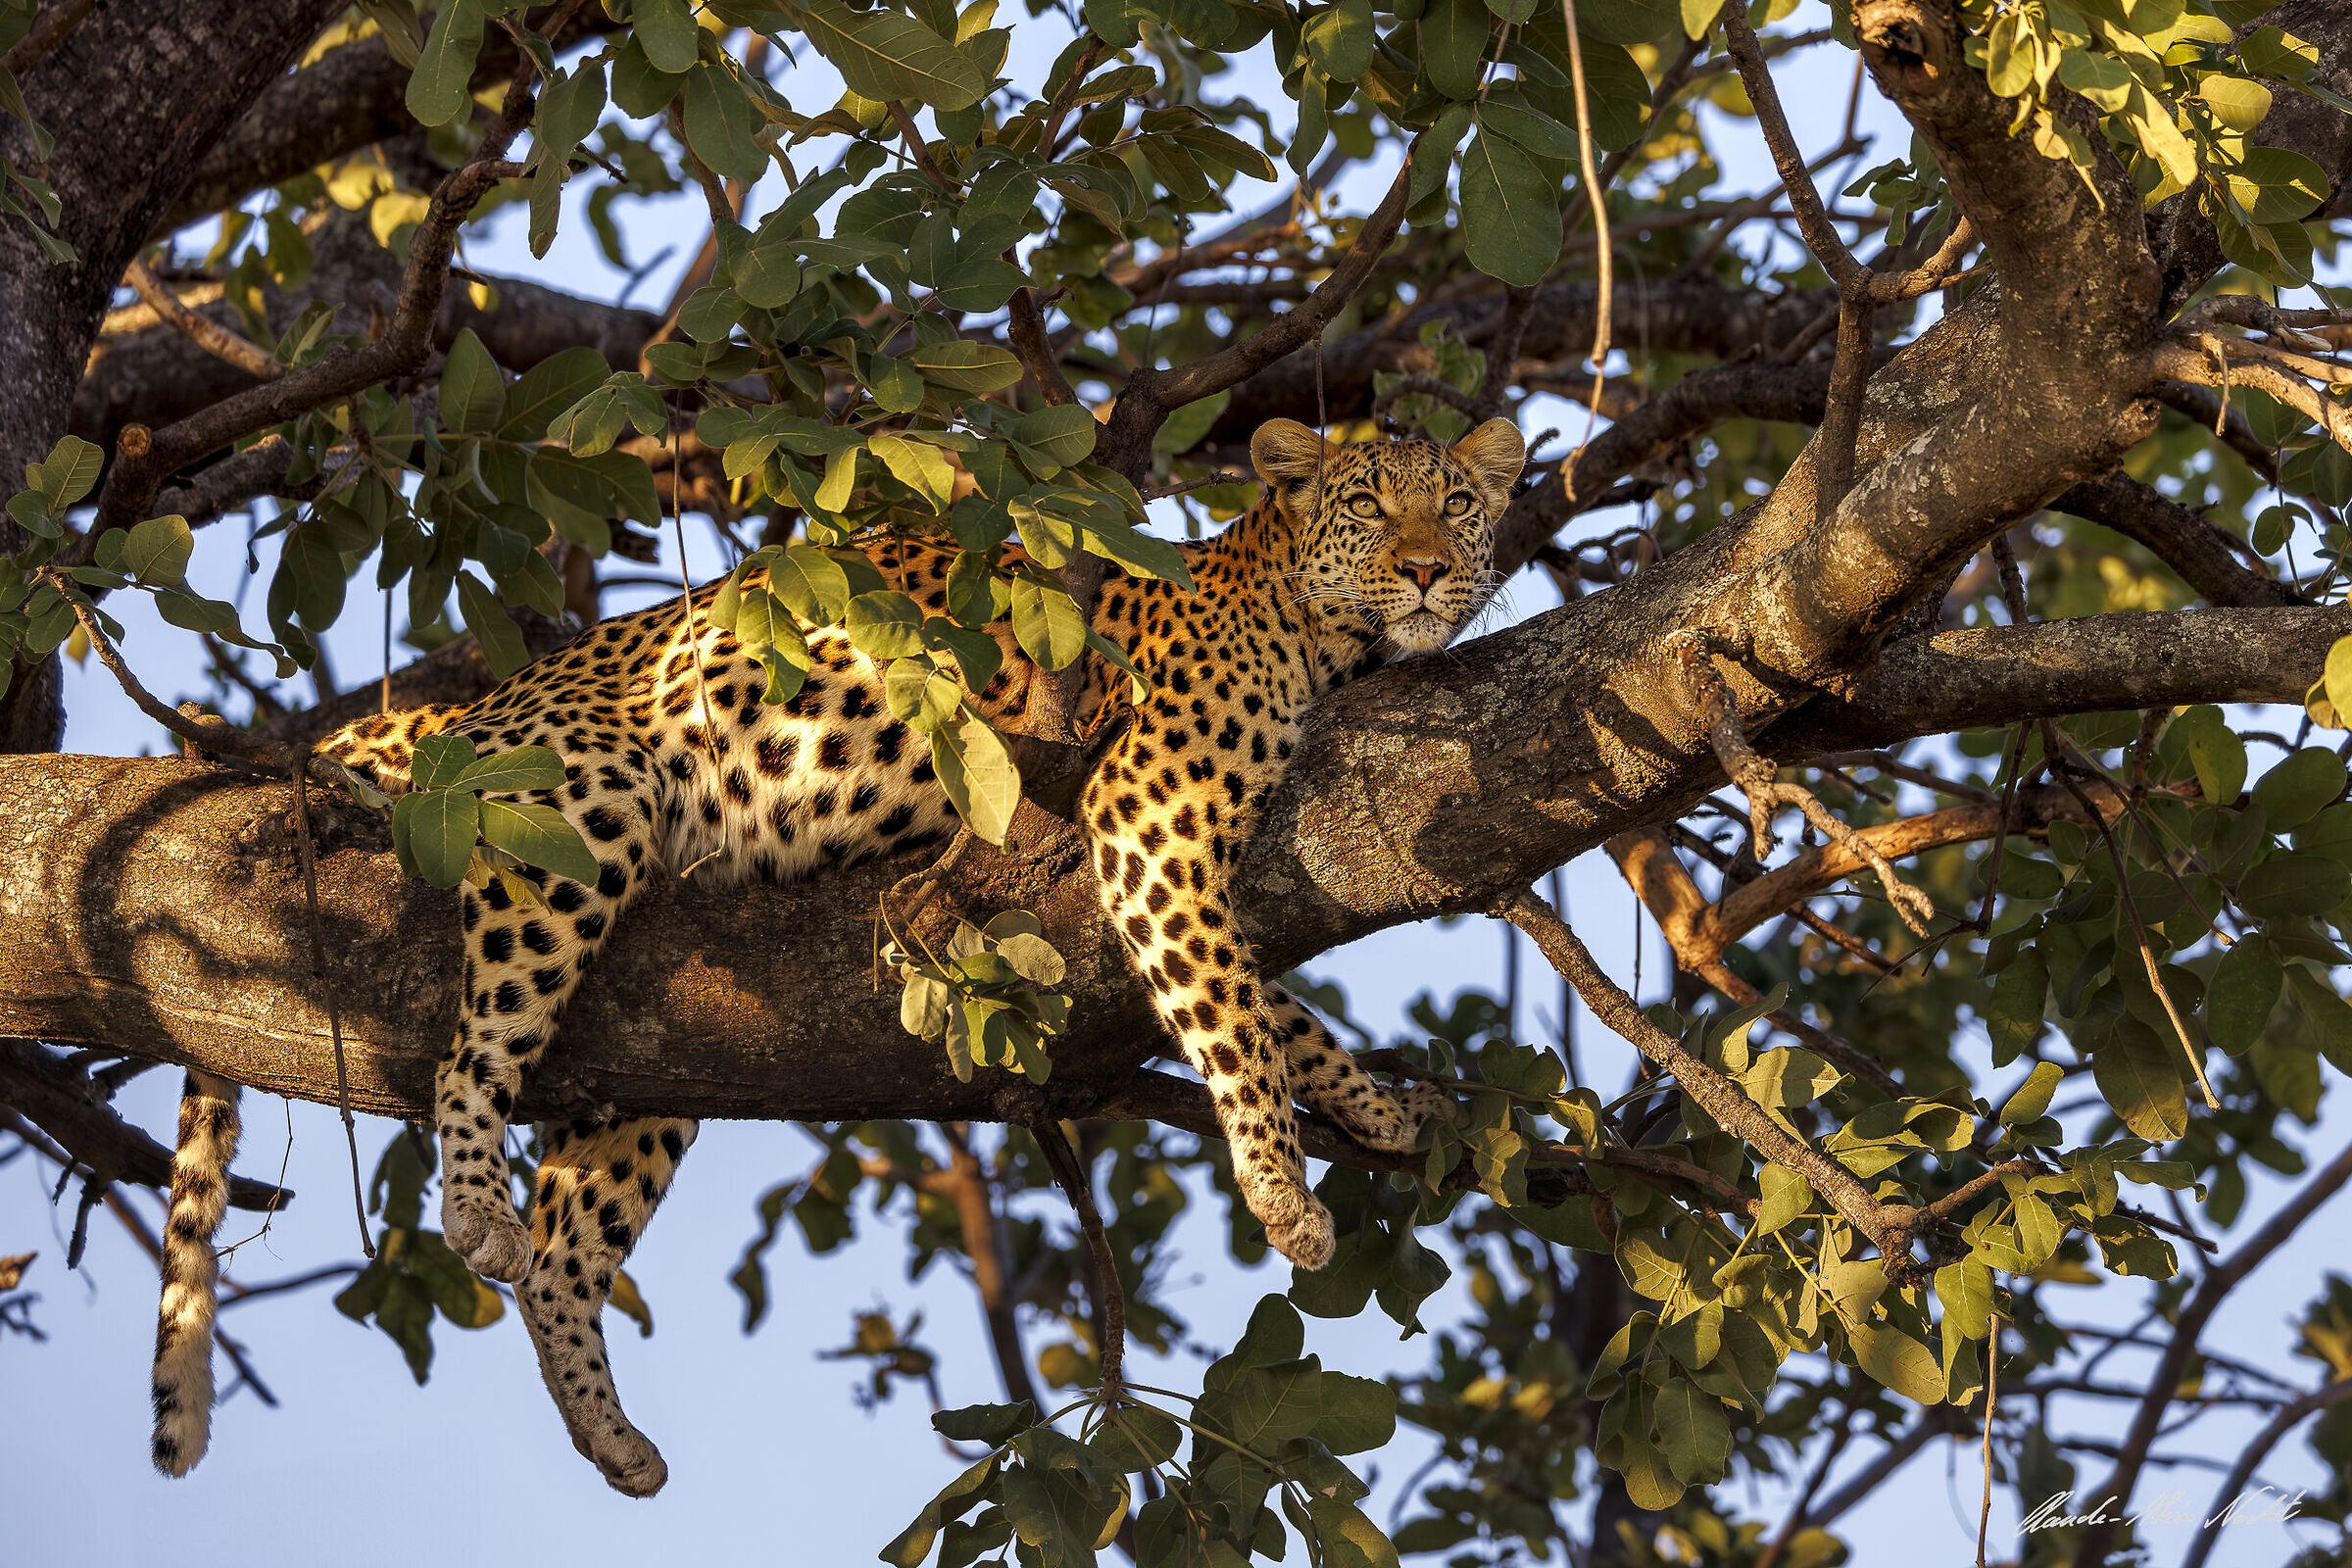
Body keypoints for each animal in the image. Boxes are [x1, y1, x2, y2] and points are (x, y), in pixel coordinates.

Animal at [149, 415, 1526, 1494]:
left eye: (1457, 503)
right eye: (1368, 502)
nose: (1425, 568)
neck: (1304, 619)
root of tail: (471, 703)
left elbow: (1261, 994)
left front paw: (1367, 1102)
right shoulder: (1150, 808)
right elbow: (1232, 1001)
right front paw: (1284, 1189)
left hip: (661, 1058)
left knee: (564, 1251)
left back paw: (612, 1436)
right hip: (578, 810)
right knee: (472, 1056)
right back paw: (476, 1200)